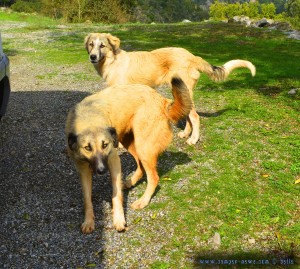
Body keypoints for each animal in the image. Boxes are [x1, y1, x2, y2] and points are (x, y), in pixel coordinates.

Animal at [65, 76, 192, 231]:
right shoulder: (83, 170)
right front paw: (88, 221)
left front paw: (119, 220)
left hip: (143, 146)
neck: (89, 120)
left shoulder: (114, 161)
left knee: (153, 177)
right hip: (130, 142)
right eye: (87, 148)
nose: (102, 170)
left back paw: (143, 200)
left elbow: (116, 195)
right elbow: (87, 199)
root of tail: (162, 100)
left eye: (105, 145)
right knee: (141, 167)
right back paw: (129, 182)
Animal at [84, 32, 255, 146]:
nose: (92, 57)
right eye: (91, 44)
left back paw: (193, 139)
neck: (112, 61)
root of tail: (192, 56)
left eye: (102, 45)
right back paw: (186, 134)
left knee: (195, 116)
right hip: (180, 91)